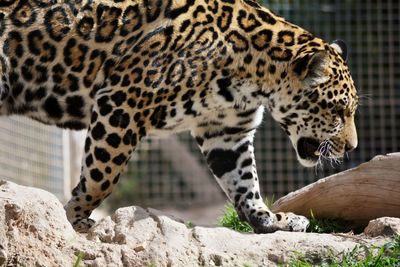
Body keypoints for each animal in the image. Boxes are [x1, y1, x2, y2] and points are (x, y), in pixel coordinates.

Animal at [0, 0, 358, 234]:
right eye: (338, 110)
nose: (352, 147)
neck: (253, 74)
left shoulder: (227, 131)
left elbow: (244, 181)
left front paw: (269, 219)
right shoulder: (122, 103)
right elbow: (102, 177)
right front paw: (73, 218)